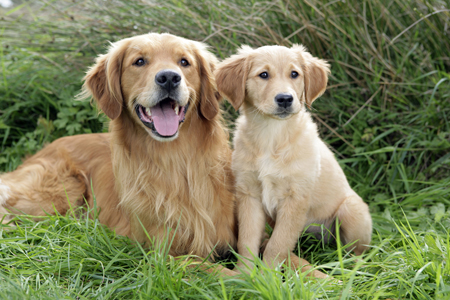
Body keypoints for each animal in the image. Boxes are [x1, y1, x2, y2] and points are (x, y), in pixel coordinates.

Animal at [0, 34, 237, 276]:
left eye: (184, 62)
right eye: (139, 61)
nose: (169, 78)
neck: (175, 160)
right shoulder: (164, 255)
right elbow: (222, 273)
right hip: (57, 192)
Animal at [216, 45, 370, 278]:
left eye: (294, 74)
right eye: (263, 75)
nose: (285, 99)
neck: (272, 134)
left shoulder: (295, 198)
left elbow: (277, 245)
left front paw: (267, 277)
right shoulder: (249, 195)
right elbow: (247, 241)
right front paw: (245, 276)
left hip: (351, 210)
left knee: (358, 252)